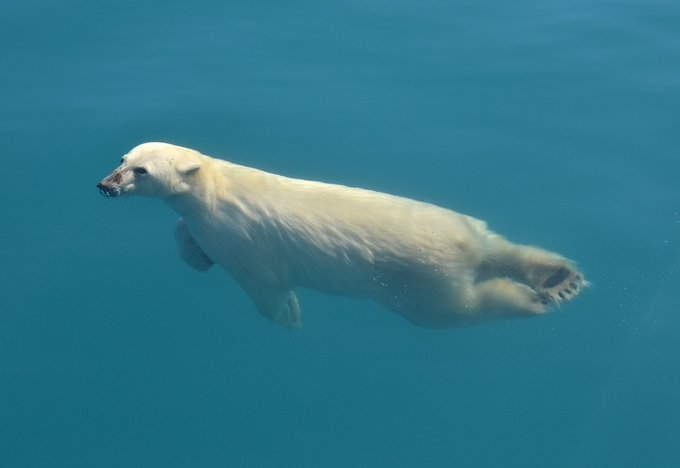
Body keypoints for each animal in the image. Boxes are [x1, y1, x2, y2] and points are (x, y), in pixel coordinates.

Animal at [98, 143, 588, 330]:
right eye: (122, 157)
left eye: (141, 170)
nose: (105, 185)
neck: (216, 187)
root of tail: (461, 248)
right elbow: (183, 230)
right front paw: (196, 255)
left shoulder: (240, 239)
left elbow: (267, 288)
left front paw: (289, 317)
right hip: (462, 225)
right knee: (502, 249)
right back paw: (559, 277)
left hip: (419, 282)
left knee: (461, 307)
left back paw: (536, 299)